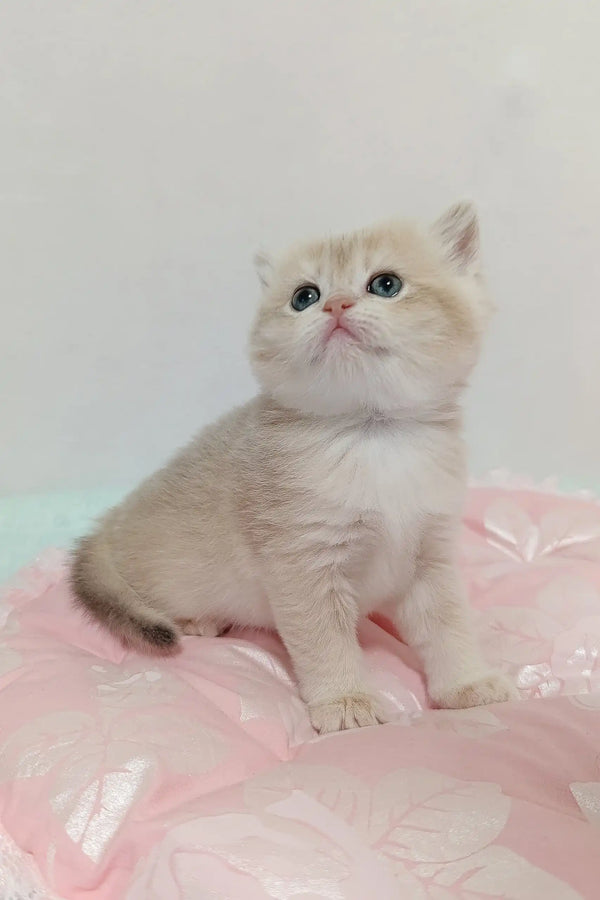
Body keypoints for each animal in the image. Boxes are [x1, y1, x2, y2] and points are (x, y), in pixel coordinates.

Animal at [72, 204, 516, 732]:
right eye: (305, 297)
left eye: (385, 284)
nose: (337, 306)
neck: (375, 439)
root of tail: (109, 523)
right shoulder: (303, 565)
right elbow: (326, 643)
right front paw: (345, 702)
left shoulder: (431, 558)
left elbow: (449, 628)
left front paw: (467, 684)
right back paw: (195, 620)